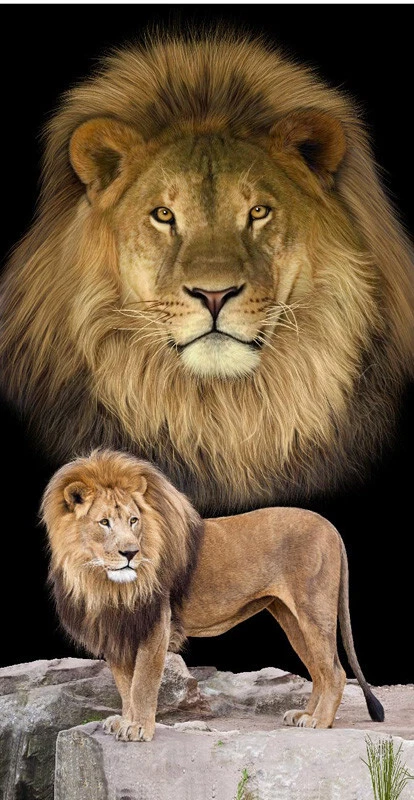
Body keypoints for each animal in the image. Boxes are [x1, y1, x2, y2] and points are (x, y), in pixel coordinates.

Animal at [42, 449, 384, 742]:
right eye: (104, 522)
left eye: (133, 520)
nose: (130, 553)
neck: (103, 582)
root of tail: (331, 526)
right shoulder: (117, 629)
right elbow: (125, 685)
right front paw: (125, 721)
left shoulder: (155, 625)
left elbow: (143, 683)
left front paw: (138, 728)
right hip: (291, 618)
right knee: (319, 671)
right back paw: (304, 714)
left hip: (313, 610)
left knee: (335, 672)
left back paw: (319, 721)